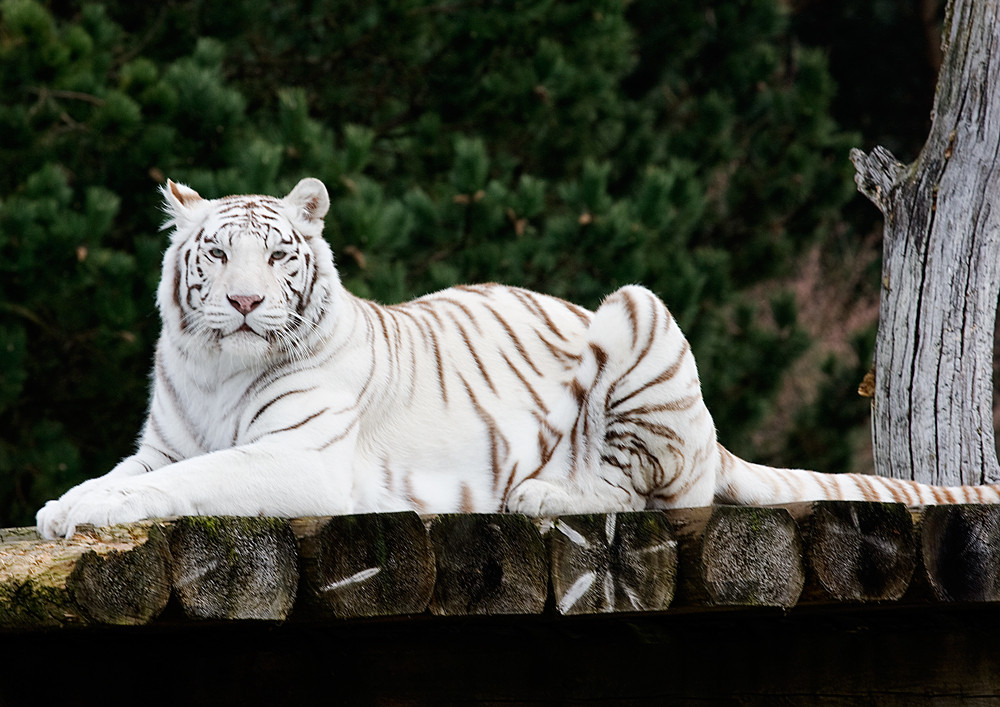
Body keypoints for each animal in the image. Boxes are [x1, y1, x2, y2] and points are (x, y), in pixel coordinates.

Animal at [35, 177, 1000, 539]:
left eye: (277, 258)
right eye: (217, 254)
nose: (241, 303)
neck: (219, 368)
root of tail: (713, 433)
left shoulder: (297, 458)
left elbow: (189, 480)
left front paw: (85, 510)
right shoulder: (161, 441)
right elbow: (134, 471)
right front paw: (65, 503)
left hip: (640, 312)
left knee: (654, 491)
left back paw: (537, 491)